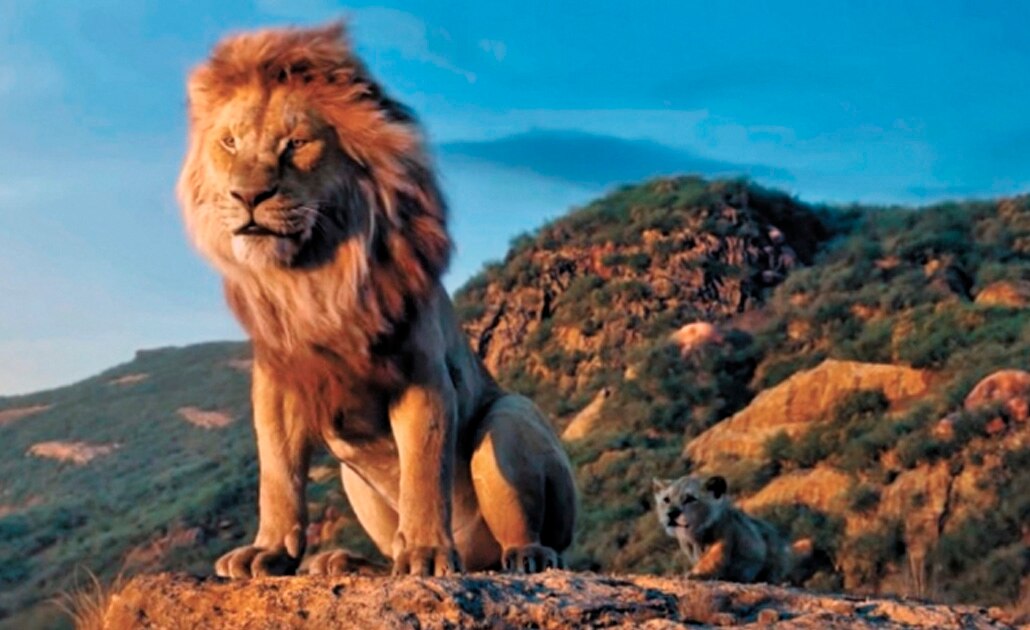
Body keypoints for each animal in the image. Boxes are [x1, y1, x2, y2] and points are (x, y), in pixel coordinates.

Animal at [177, 22, 577, 578]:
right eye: (229, 143)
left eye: (296, 143)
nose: (247, 197)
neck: (314, 277)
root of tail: (478, 560)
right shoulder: (278, 383)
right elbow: (278, 475)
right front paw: (269, 551)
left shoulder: (421, 373)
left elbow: (424, 472)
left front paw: (427, 554)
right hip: (355, 480)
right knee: (387, 547)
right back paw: (344, 562)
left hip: (511, 417)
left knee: (526, 529)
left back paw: (526, 555)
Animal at [652, 475, 791, 583]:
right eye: (666, 499)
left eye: (690, 499)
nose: (671, 513)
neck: (696, 537)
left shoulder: (724, 542)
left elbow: (709, 564)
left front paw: (690, 575)